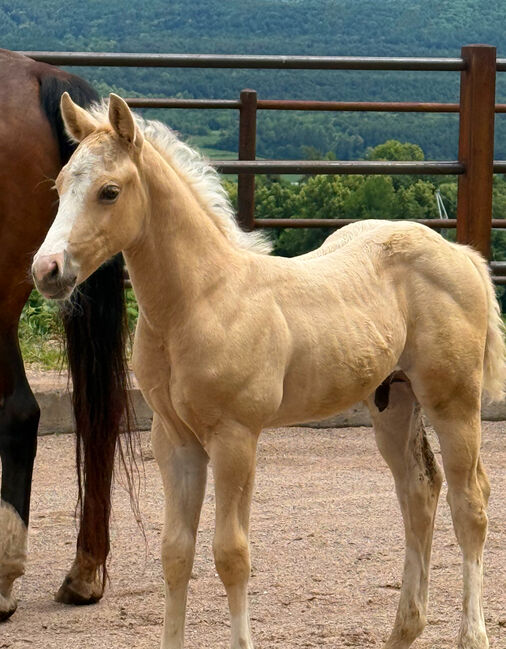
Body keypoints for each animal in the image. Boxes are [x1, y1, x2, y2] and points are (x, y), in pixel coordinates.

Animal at [32, 92, 505, 649]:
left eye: (109, 191)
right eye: (61, 185)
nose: (47, 270)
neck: (199, 300)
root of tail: (460, 253)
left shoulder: (235, 437)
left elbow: (231, 554)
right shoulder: (174, 439)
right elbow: (176, 552)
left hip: (453, 399)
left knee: (470, 502)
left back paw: (472, 634)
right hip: (393, 400)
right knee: (420, 492)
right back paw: (403, 630)